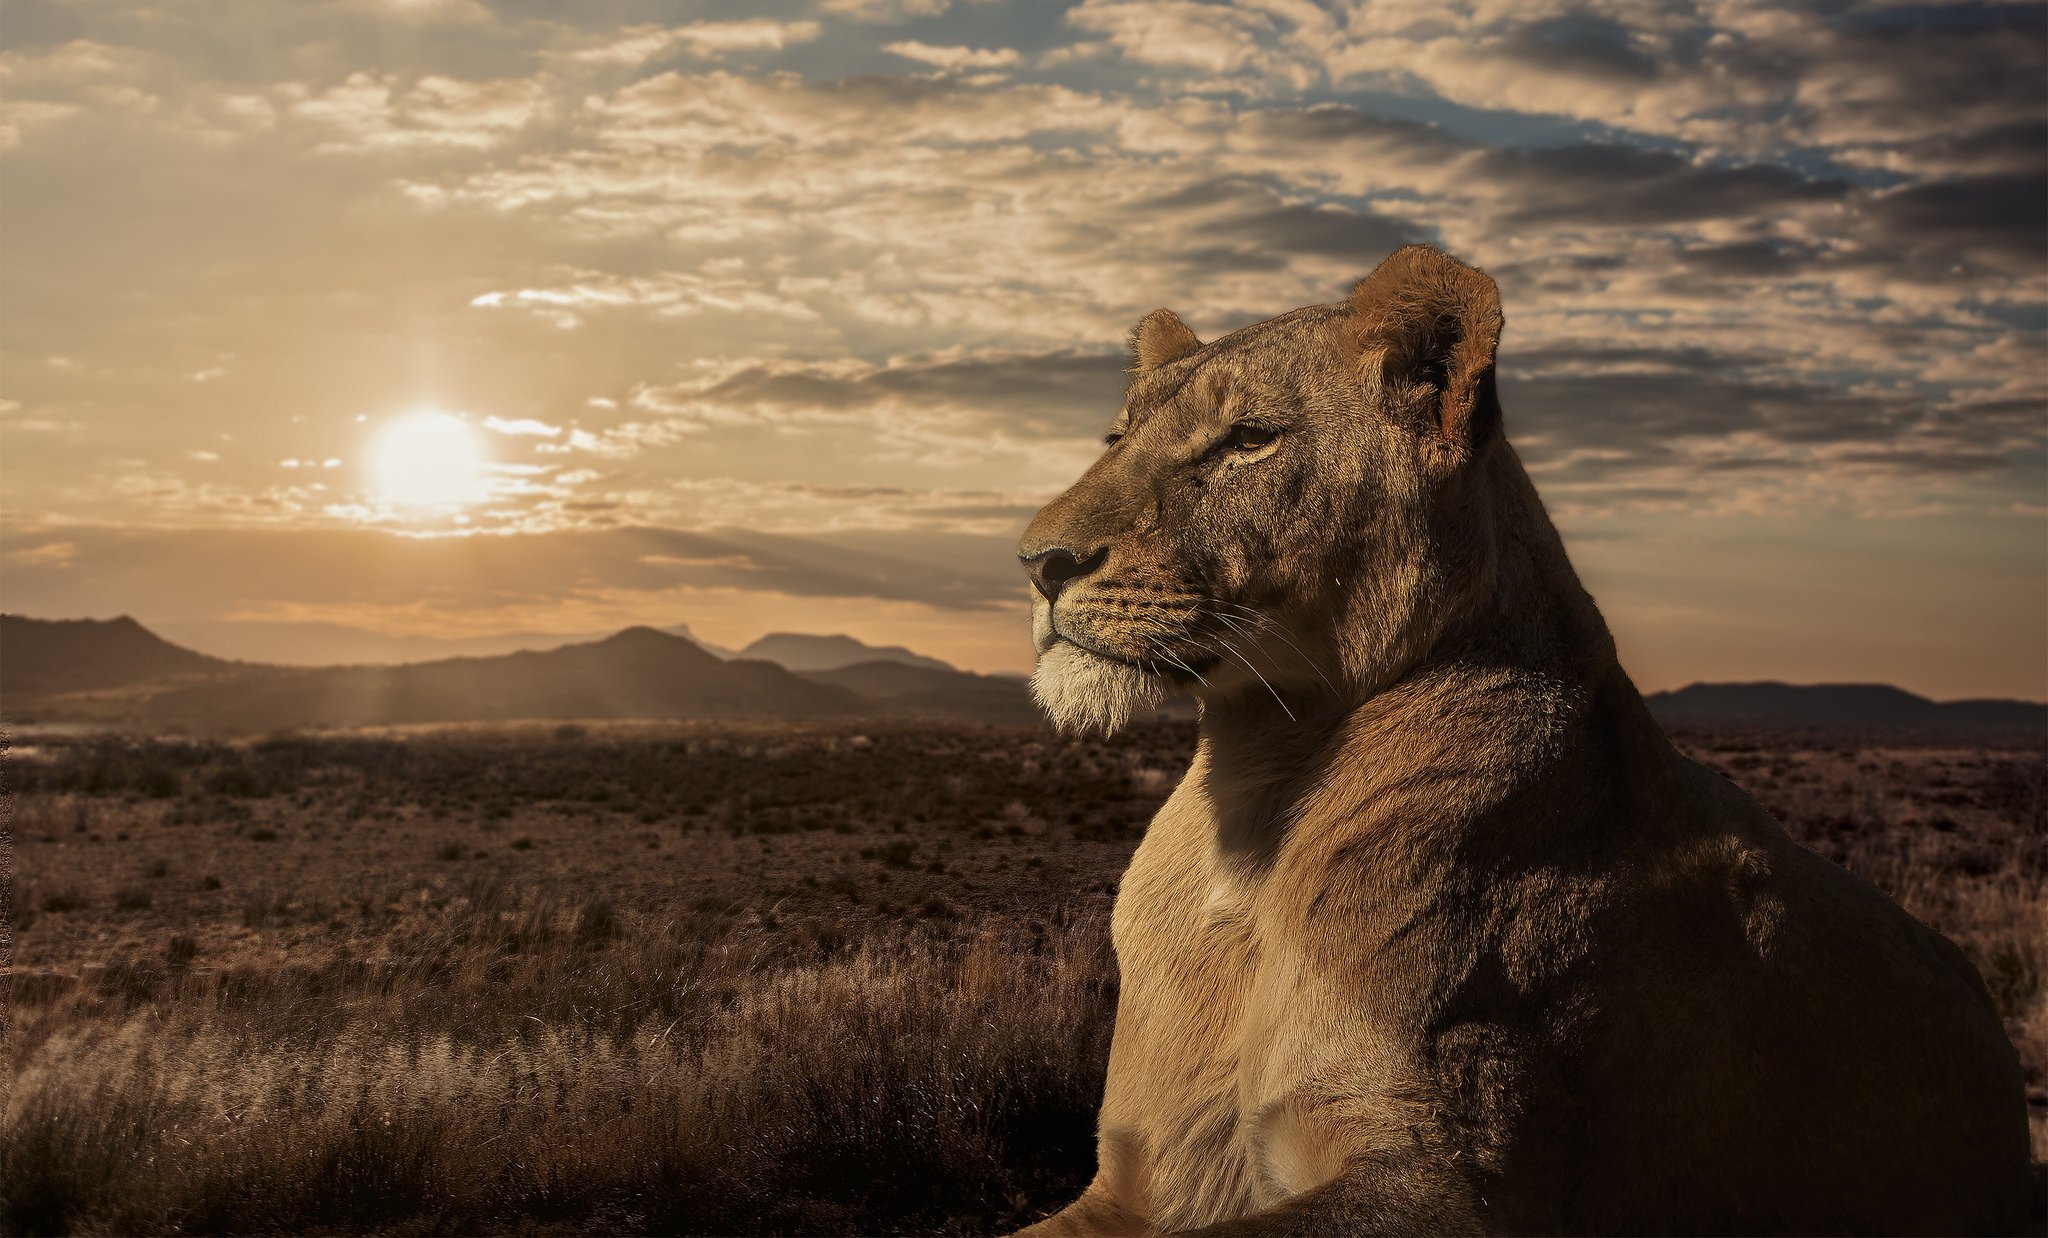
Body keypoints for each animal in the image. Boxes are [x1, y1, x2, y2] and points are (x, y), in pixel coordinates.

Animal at [1013, 245, 2032, 1235]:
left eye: (1248, 440)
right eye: (1116, 438)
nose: (1037, 563)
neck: (1258, 783)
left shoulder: (1448, 1182)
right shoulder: (1138, 1178)